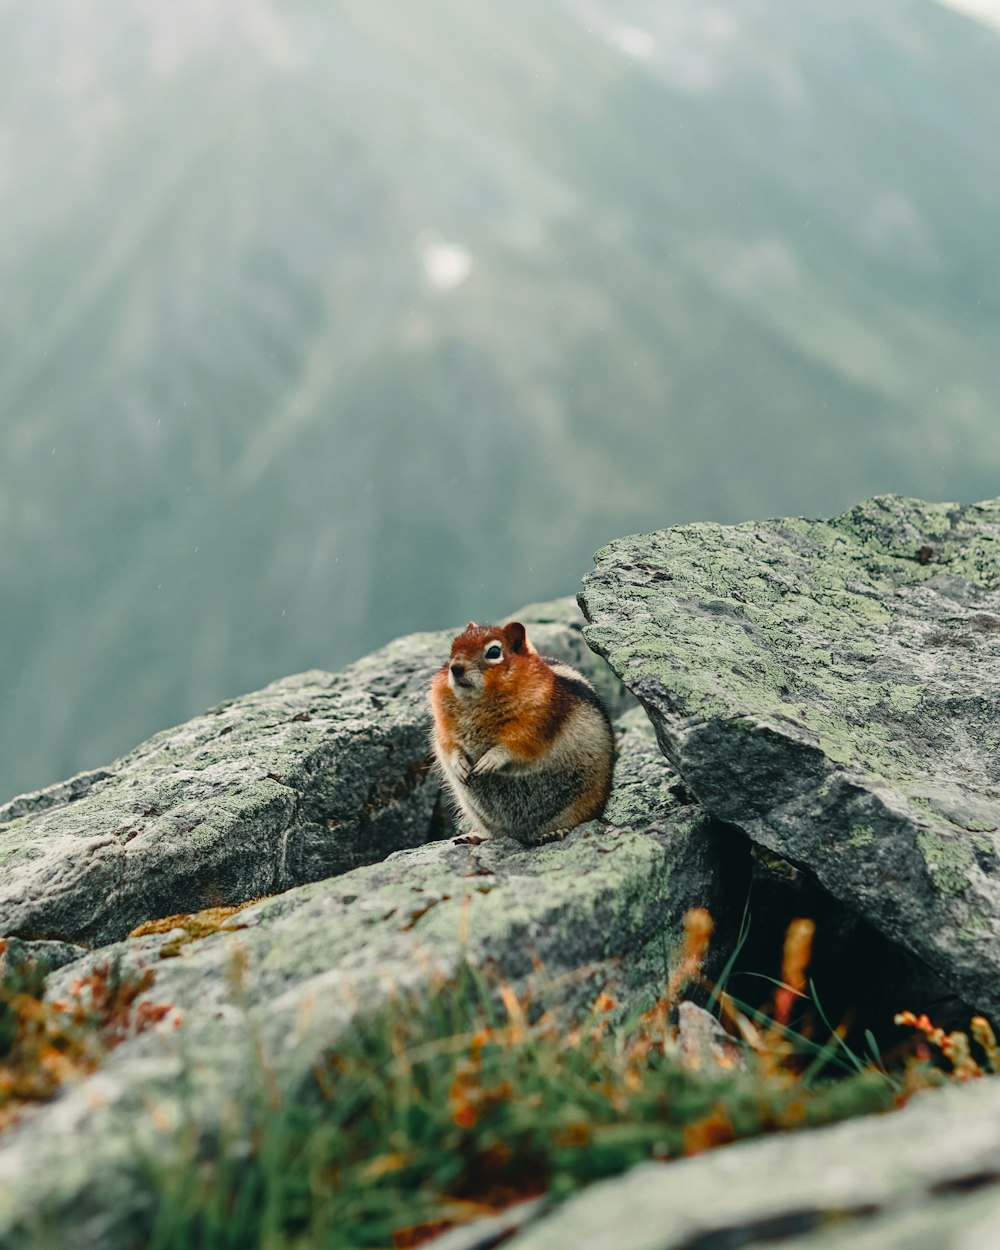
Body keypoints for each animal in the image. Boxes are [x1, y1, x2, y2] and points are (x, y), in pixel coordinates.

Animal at [432, 622, 617, 845]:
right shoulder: (443, 726)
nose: (455, 668)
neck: (474, 702)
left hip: (583, 805)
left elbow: (517, 747)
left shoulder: (536, 724)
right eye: (452, 649)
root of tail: (522, 836)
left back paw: (555, 833)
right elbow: (448, 746)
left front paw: (490, 760)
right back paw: (474, 837)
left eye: (493, 652)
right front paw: (459, 764)